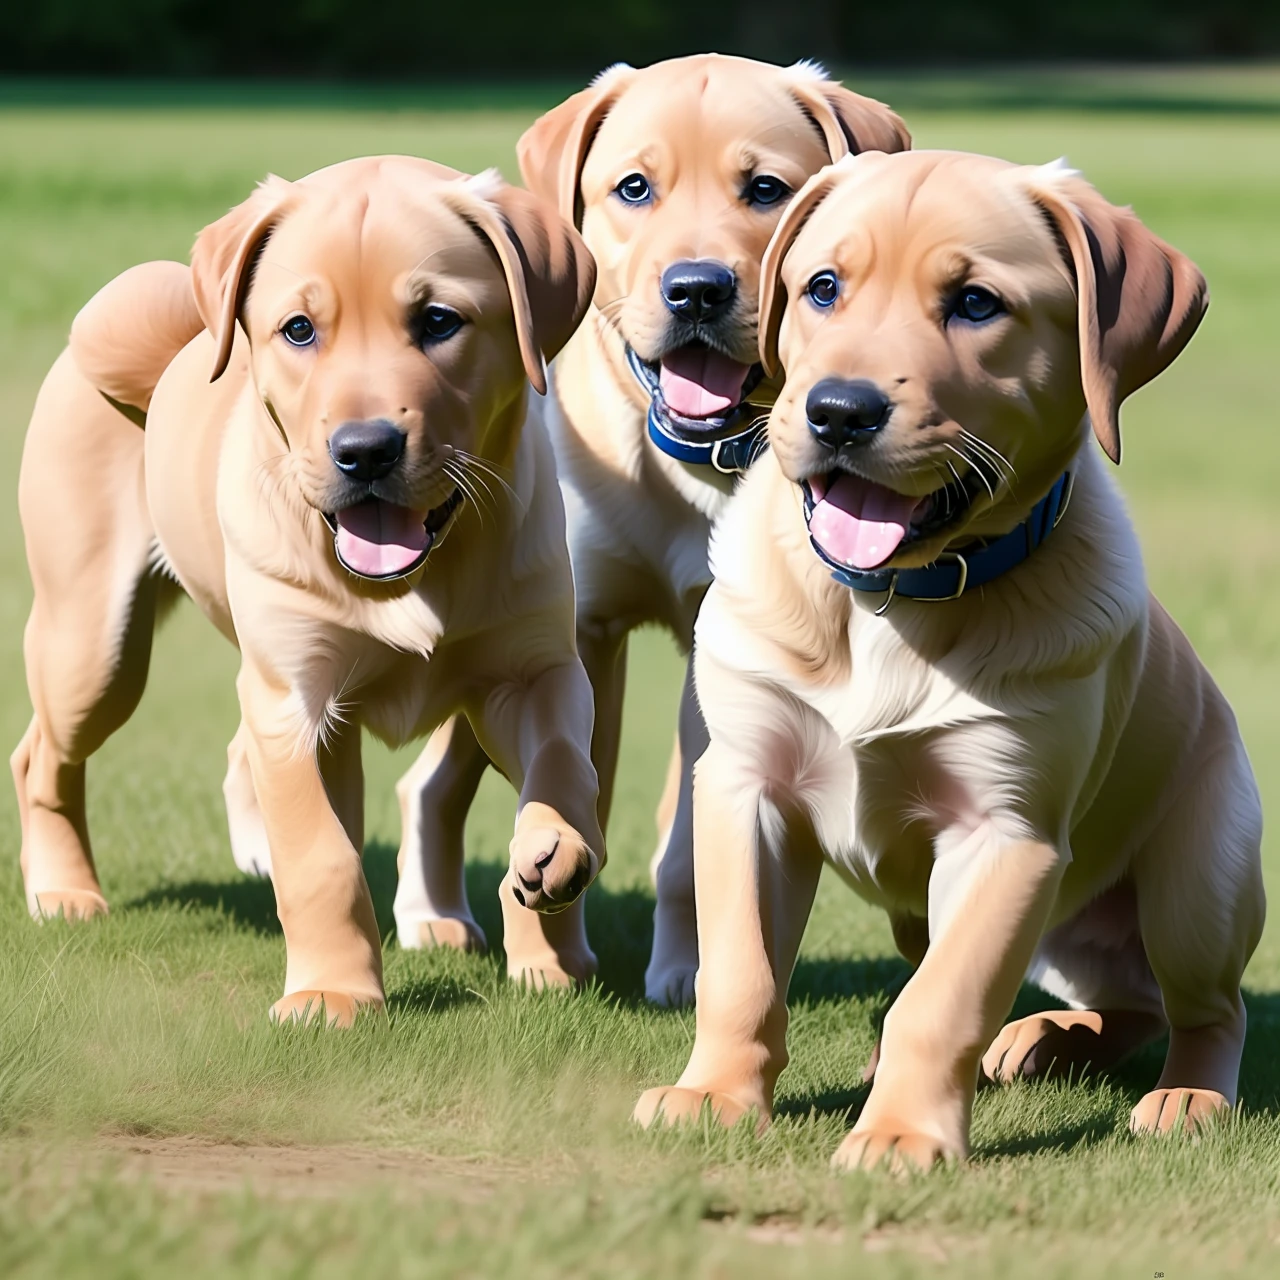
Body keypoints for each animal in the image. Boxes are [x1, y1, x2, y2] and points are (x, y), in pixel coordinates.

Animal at [13, 157, 604, 1018]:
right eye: (298, 330)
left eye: (438, 321)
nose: (365, 449)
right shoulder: (298, 698)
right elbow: (322, 857)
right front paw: (333, 995)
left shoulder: (532, 671)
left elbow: (564, 759)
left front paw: (552, 884)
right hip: (94, 646)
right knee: (41, 756)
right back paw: (63, 892)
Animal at [394, 57, 906, 998]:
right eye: (634, 187)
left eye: (766, 188)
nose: (697, 287)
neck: (696, 465)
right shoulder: (578, 627)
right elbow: (575, 783)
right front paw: (552, 950)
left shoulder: (721, 651)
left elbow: (689, 838)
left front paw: (689, 967)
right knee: (432, 780)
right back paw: (432, 917)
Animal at [634, 149, 1264, 1172]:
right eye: (823, 288)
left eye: (975, 303)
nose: (839, 411)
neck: (889, 603)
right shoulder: (744, 784)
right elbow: (739, 969)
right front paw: (716, 1095)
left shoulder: (1005, 833)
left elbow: (940, 1002)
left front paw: (900, 1134)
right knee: (1125, 1001)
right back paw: (1043, 1040)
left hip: (1198, 880)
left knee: (1209, 1007)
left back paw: (1188, 1096)